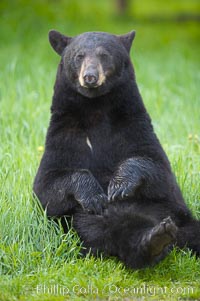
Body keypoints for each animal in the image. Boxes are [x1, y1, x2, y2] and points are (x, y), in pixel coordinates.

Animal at [33, 30, 200, 268]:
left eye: (104, 55)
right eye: (79, 56)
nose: (90, 77)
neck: (96, 110)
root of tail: (180, 243)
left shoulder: (133, 125)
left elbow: (158, 169)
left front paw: (119, 185)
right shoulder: (63, 135)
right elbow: (47, 186)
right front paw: (94, 195)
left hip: (179, 216)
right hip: (89, 223)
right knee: (120, 232)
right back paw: (156, 239)